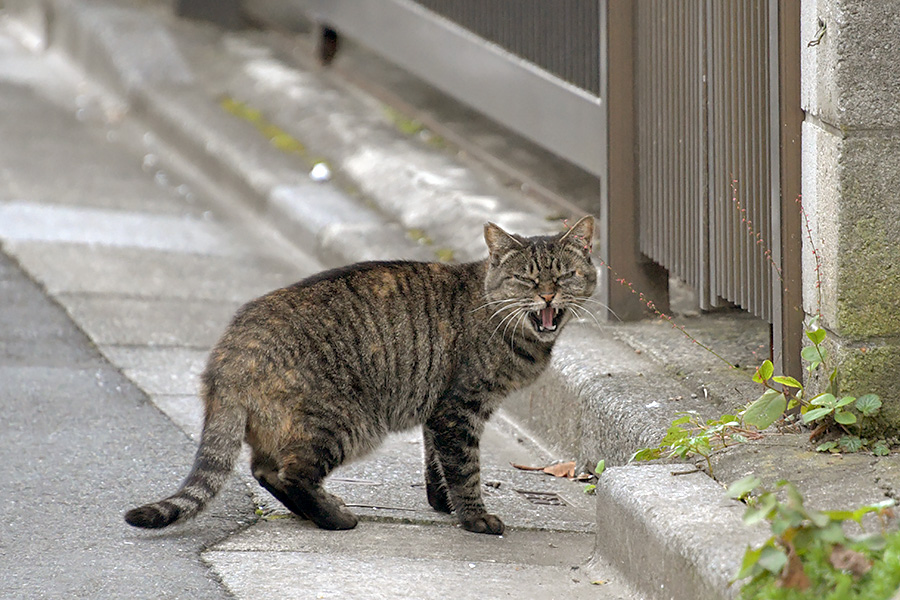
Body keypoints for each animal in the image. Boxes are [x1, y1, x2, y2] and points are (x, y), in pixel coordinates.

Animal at [123, 216, 596, 536]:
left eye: (565, 275)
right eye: (527, 279)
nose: (548, 295)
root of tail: (228, 352)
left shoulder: (438, 411)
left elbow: (436, 463)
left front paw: (442, 504)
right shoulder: (461, 408)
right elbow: (464, 468)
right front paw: (475, 517)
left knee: (263, 468)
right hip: (350, 422)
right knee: (288, 472)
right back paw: (334, 517)